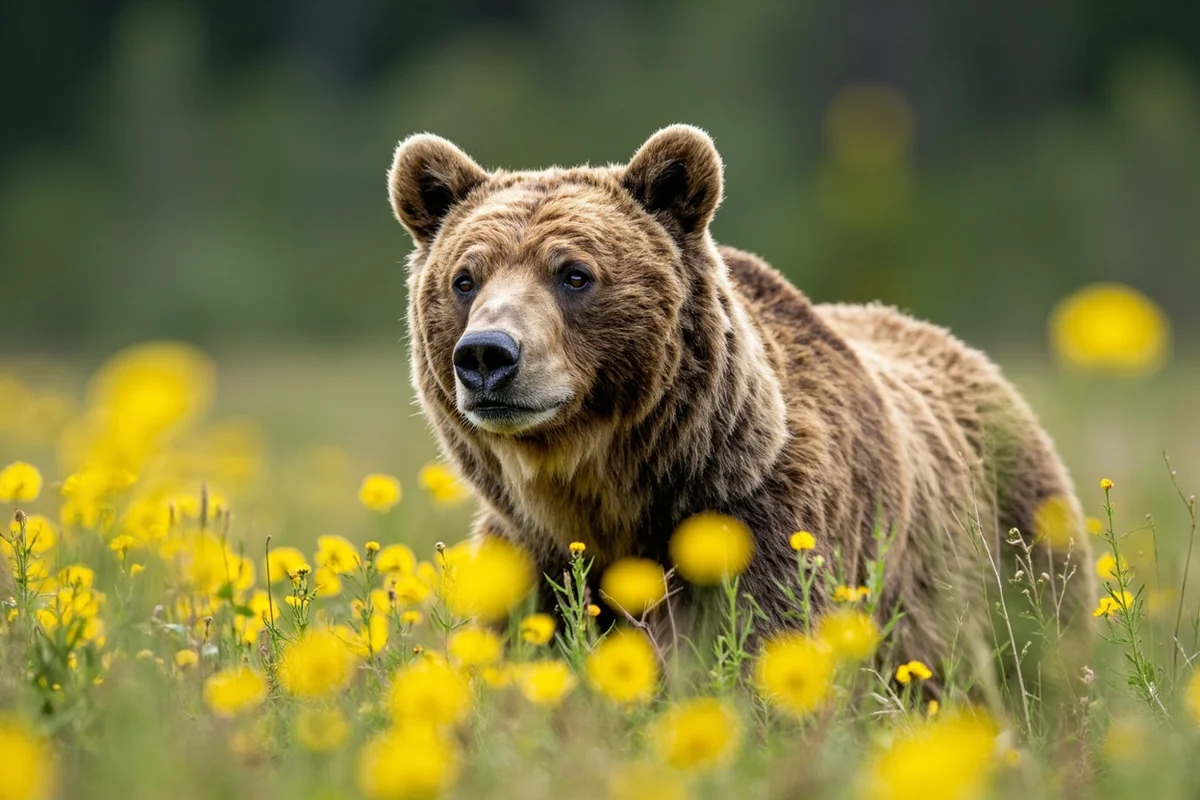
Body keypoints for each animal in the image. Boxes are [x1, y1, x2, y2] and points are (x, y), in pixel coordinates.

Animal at [387, 124, 1093, 684]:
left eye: (575, 274)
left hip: (1010, 560)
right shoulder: (531, 561)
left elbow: (766, 651)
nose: (487, 355)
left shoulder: (759, 530)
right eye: (465, 279)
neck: (607, 497)